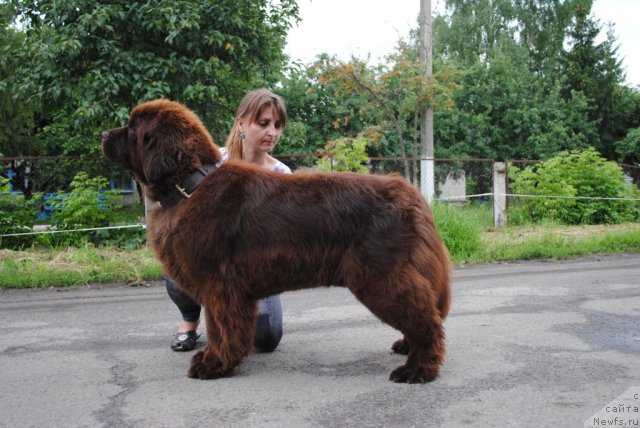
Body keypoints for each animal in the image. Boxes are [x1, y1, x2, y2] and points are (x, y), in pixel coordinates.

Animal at [101, 100, 450, 384]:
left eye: (132, 128)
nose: (103, 134)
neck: (189, 185)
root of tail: (411, 194)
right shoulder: (227, 288)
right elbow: (224, 326)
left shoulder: (219, 285)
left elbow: (220, 327)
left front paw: (213, 365)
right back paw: (407, 348)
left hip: (379, 275)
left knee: (426, 320)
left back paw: (418, 369)